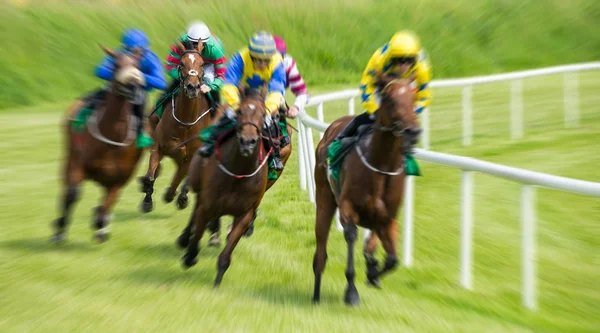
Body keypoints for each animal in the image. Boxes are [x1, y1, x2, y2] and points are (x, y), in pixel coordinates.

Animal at [52, 44, 149, 241]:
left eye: (138, 65)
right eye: (116, 65)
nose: (133, 85)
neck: (112, 136)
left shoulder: (121, 176)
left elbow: (110, 199)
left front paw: (100, 225)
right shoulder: (79, 163)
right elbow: (73, 193)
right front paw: (60, 229)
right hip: (69, 153)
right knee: (66, 186)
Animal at [139, 40, 216, 211]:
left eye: (202, 64)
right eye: (182, 63)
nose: (192, 87)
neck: (185, 123)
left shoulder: (190, 155)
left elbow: (180, 178)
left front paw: (178, 196)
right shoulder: (158, 146)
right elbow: (150, 175)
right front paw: (147, 200)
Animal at [178, 85, 272, 286]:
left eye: (263, 114)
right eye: (239, 111)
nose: (247, 142)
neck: (238, 174)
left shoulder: (244, 214)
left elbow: (228, 251)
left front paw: (217, 281)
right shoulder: (208, 204)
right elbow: (197, 233)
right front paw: (189, 256)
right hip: (198, 182)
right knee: (194, 203)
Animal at [310, 74, 422, 304]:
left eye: (414, 96)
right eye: (390, 99)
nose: (413, 132)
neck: (381, 165)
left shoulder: (387, 218)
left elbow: (392, 259)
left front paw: (372, 274)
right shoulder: (348, 209)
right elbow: (351, 236)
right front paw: (351, 291)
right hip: (324, 198)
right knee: (320, 251)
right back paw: (316, 294)